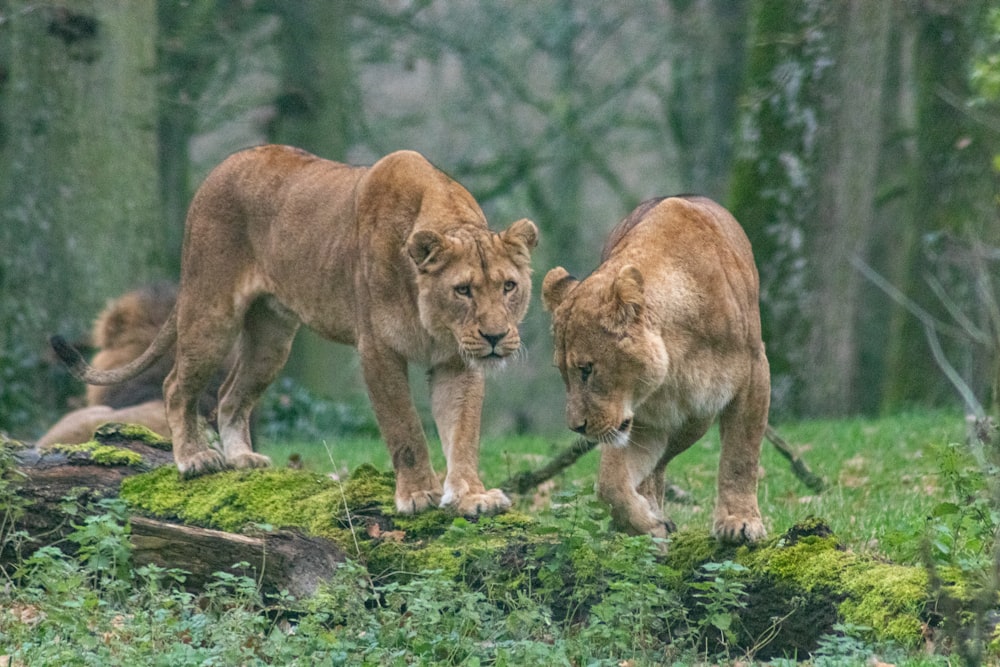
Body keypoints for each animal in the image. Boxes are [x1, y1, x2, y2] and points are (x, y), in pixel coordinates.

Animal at [544, 196, 768, 544]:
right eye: (563, 373)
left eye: (587, 370)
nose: (576, 427)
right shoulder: (643, 421)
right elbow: (611, 483)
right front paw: (646, 525)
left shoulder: (754, 373)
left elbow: (740, 455)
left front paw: (740, 522)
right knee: (653, 471)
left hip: (696, 420)